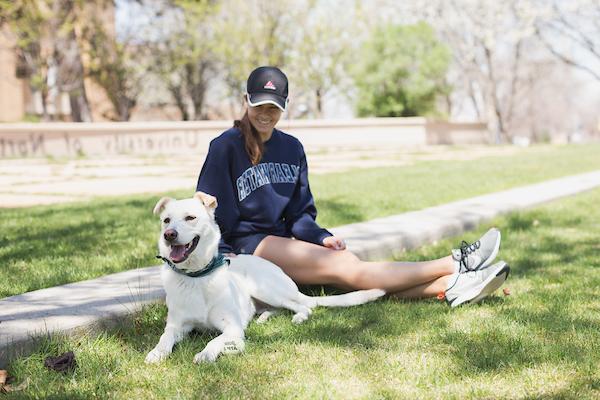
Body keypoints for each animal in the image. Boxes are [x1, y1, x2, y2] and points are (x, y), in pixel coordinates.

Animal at [145, 192, 384, 364]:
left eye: (190, 218)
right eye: (166, 220)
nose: (169, 235)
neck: (196, 276)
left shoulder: (232, 328)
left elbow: (215, 340)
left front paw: (206, 354)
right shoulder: (176, 327)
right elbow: (164, 338)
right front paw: (156, 353)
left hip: (266, 289)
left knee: (304, 306)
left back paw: (298, 317)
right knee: (278, 308)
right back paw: (263, 317)